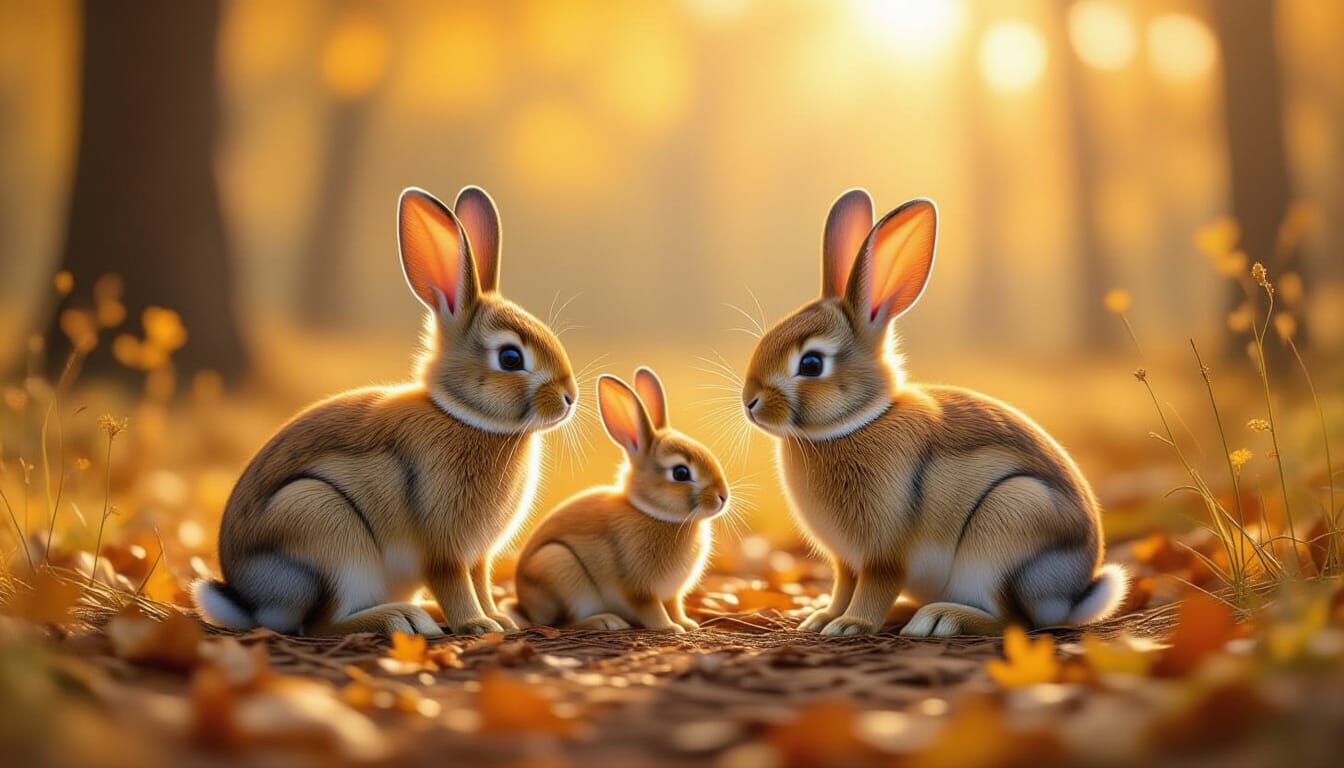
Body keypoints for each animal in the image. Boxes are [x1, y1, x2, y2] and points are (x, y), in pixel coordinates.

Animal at [192, 186, 578, 636]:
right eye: (511, 358)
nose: (570, 397)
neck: (463, 416)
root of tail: (249, 601)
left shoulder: (478, 555)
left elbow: (480, 582)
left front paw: (498, 619)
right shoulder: (444, 550)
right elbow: (455, 585)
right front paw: (477, 626)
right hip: (324, 527)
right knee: (321, 624)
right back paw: (401, 618)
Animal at [513, 368, 729, 632]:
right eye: (680, 473)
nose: (723, 497)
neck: (652, 513)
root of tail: (524, 604)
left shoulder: (672, 594)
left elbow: (675, 606)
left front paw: (687, 624)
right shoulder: (639, 590)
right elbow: (652, 611)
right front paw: (669, 628)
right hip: (558, 568)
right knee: (565, 622)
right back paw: (606, 621)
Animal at [739, 189, 1128, 637]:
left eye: (811, 364)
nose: (749, 401)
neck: (858, 422)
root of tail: (1072, 597)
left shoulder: (883, 556)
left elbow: (873, 588)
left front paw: (850, 625)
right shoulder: (846, 561)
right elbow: (842, 586)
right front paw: (821, 619)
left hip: (1008, 525)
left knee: (1012, 620)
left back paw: (940, 619)